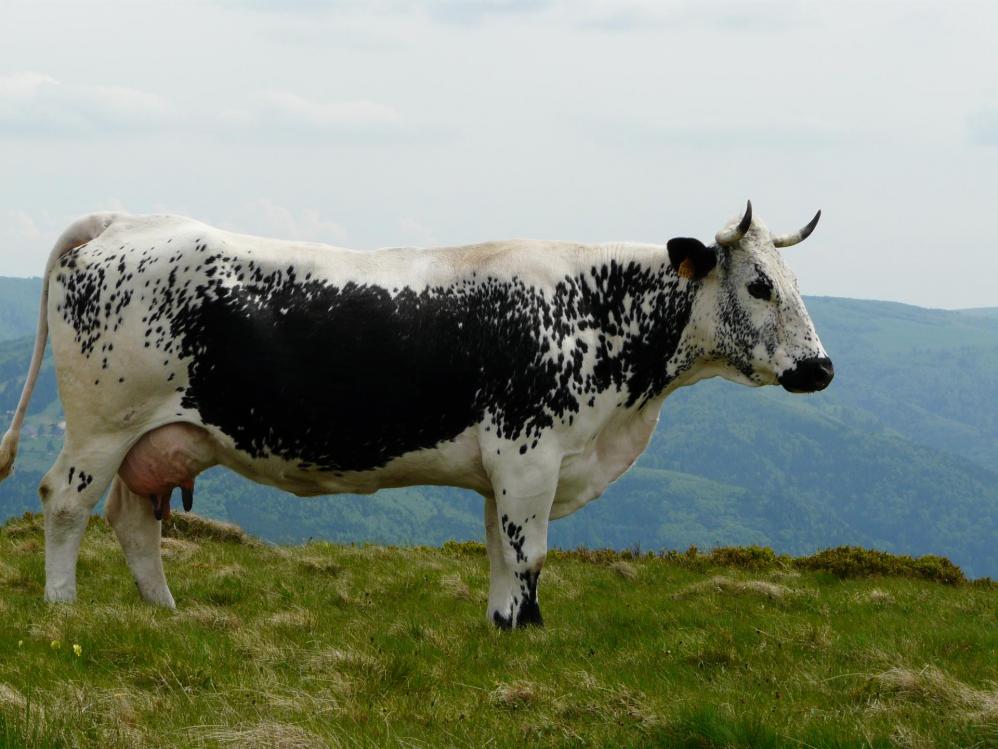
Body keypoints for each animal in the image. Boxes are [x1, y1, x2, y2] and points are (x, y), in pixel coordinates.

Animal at [0, 200, 832, 624]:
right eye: (759, 284)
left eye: (793, 281)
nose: (821, 367)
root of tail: (123, 221)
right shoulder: (530, 453)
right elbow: (528, 556)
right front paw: (526, 628)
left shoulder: (507, 470)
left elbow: (499, 553)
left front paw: (501, 631)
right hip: (102, 423)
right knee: (64, 500)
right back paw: (64, 607)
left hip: (156, 434)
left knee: (132, 518)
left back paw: (166, 610)